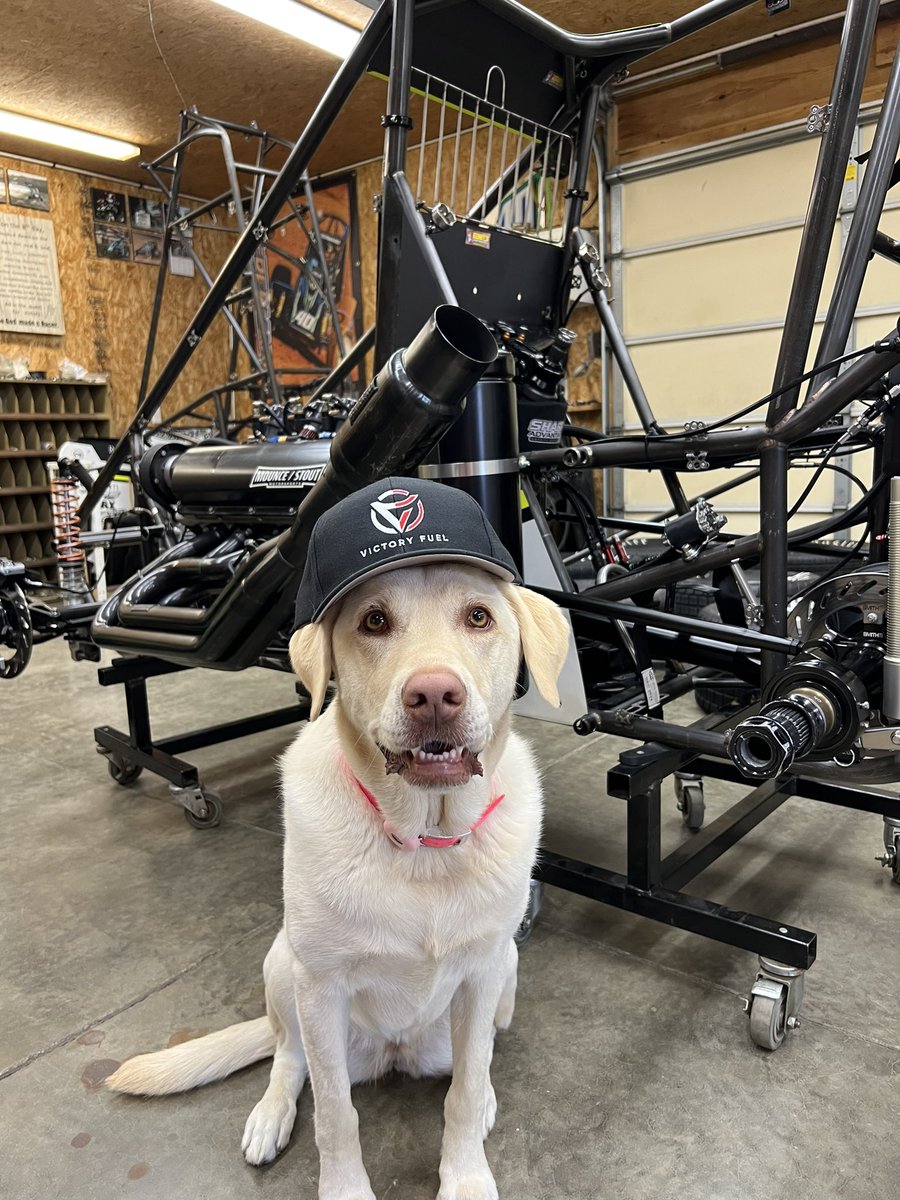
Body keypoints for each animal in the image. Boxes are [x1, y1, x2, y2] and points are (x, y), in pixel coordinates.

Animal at [107, 477, 571, 1200]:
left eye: (478, 617)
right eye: (373, 622)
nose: (433, 695)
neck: (424, 840)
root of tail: (395, 1055)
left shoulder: (483, 972)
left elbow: (463, 1092)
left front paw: (465, 1174)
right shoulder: (321, 986)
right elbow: (333, 1111)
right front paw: (344, 1186)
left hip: (506, 974)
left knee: (471, 1065)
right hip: (283, 966)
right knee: (287, 1058)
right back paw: (270, 1114)